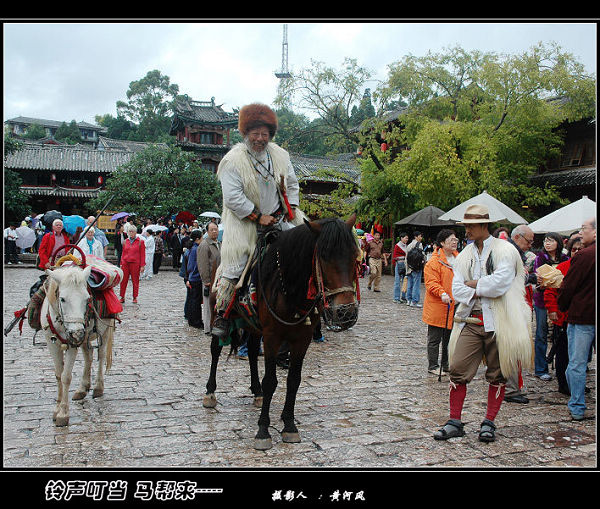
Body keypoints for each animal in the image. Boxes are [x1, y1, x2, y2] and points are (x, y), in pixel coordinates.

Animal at [40, 262, 116, 424]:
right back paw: (82, 388)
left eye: (87, 299)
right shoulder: (51, 342)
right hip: (85, 338)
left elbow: (66, 376)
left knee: (100, 356)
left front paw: (63, 414)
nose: (77, 333)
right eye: (62, 299)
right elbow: (58, 374)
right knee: (89, 356)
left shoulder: (72, 345)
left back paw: (98, 388)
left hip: (103, 331)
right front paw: (57, 409)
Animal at [205, 213, 360, 448]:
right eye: (324, 257)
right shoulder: (272, 337)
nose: (346, 313)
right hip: (218, 313)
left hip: (254, 326)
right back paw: (210, 392)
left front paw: (289, 425)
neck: (289, 286)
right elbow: (271, 381)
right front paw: (263, 430)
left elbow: (293, 380)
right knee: (215, 350)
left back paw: (256, 392)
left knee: (252, 351)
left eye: (354, 256)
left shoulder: (302, 339)